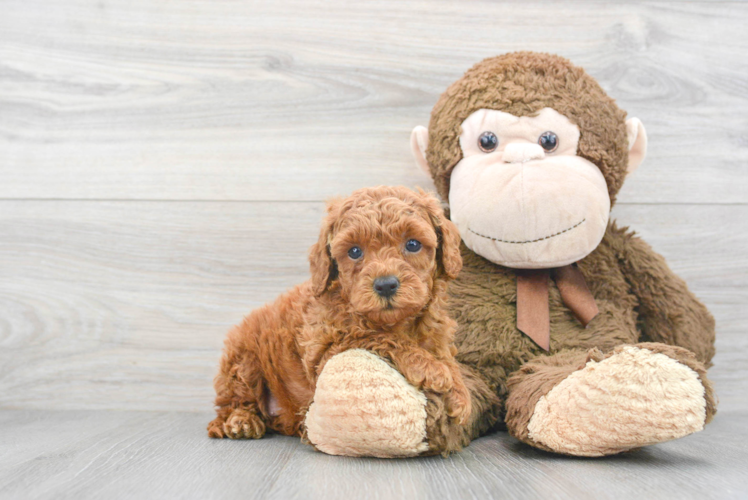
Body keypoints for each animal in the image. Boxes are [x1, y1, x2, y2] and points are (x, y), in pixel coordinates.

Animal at [207, 186, 470, 440]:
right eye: (354, 251)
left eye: (413, 244)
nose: (385, 285)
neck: (395, 322)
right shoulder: (324, 351)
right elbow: (377, 337)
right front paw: (431, 368)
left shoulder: (437, 335)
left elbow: (446, 357)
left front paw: (459, 392)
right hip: (242, 362)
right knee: (232, 404)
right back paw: (241, 422)